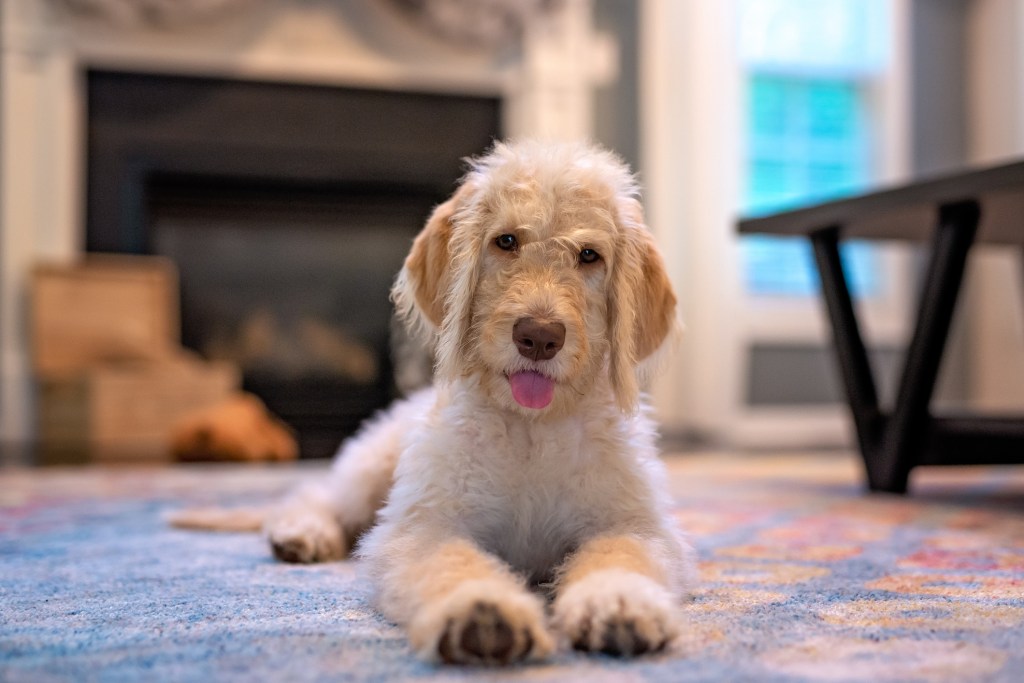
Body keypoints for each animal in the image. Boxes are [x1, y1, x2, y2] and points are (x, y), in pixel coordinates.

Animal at [174, 140, 696, 667]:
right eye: (506, 241)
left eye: (589, 255)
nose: (539, 338)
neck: (531, 429)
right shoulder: (426, 525)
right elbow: (453, 562)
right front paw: (482, 613)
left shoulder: (630, 523)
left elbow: (621, 556)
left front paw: (619, 603)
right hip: (372, 469)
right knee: (315, 496)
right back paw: (303, 533)